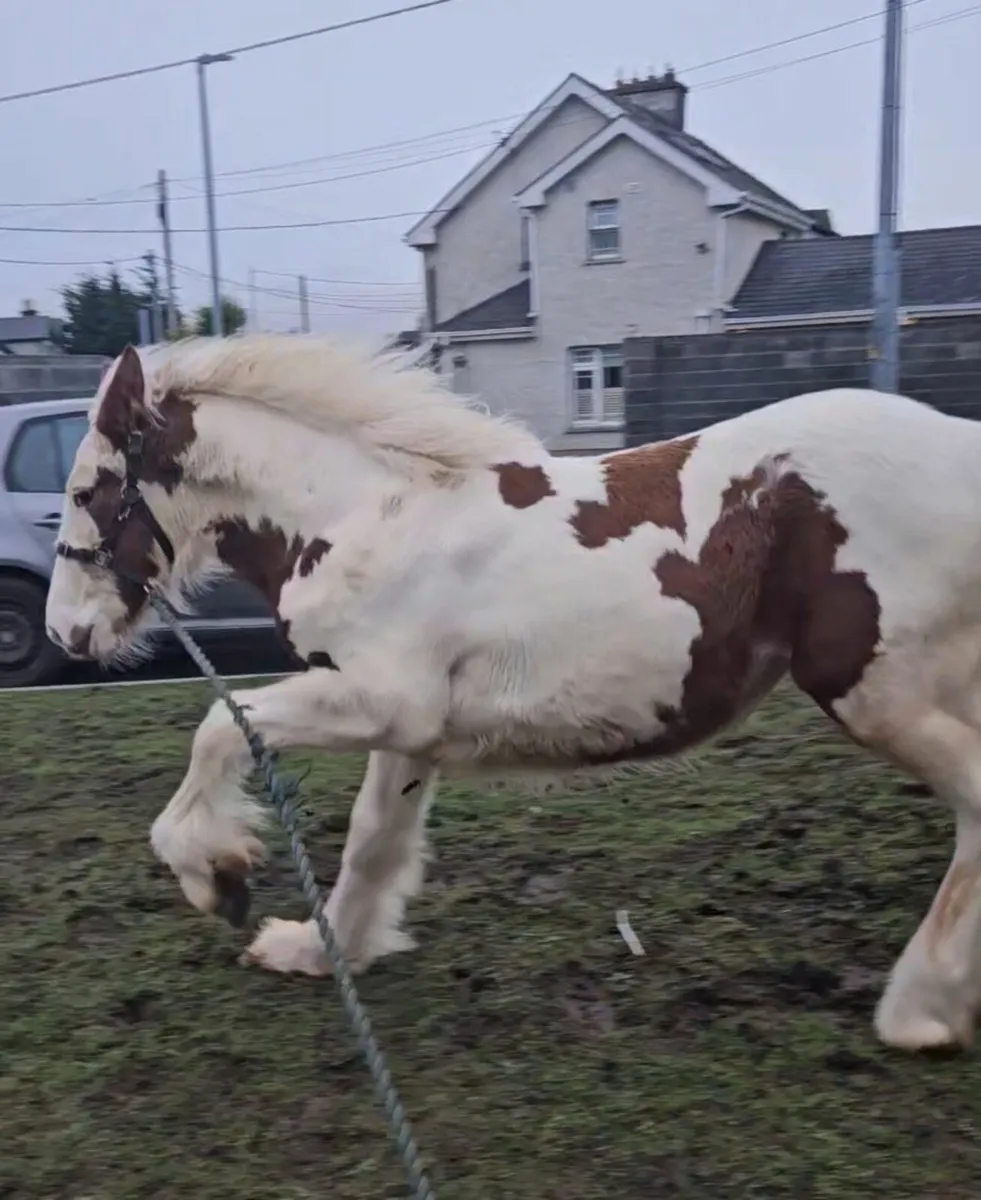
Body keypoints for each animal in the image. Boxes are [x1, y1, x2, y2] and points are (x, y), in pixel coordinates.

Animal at [44, 332, 981, 1053]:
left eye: (86, 490)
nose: (65, 633)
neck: (365, 518)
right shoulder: (409, 729)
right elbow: (373, 839)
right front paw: (317, 950)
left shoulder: (379, 699)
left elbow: (220, 724)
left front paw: (217, 877)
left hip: (874, 691)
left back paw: (920, 1011)